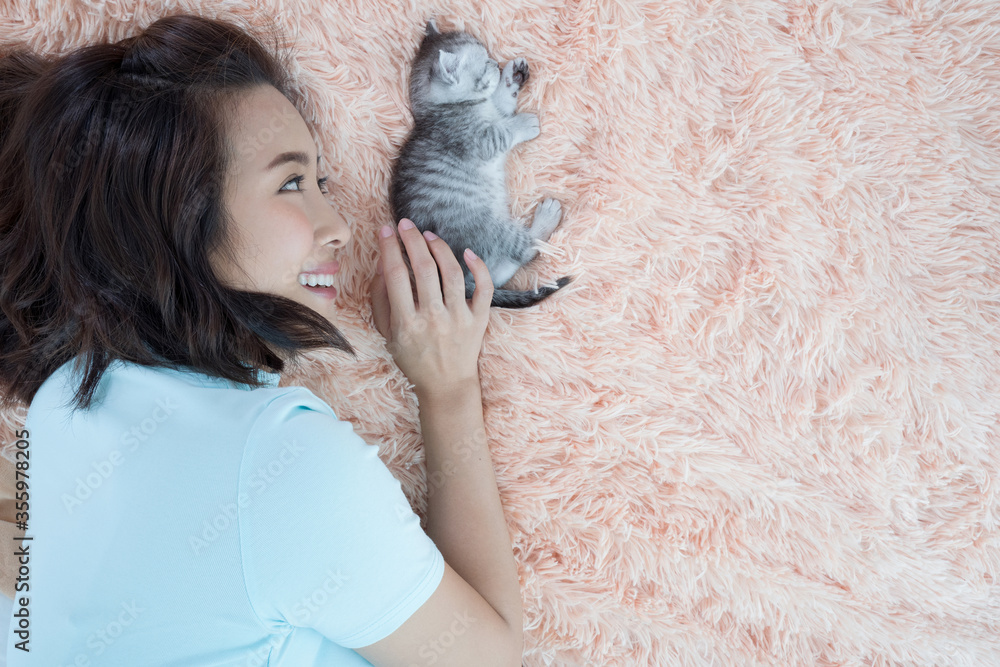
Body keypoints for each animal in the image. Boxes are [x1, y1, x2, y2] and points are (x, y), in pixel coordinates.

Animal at [392, 18, 580, 308]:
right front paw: (524, 123)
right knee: (526, 251)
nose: (496, 63)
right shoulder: (480, 139)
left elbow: (502, 105)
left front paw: (511, 78)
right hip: (485, 226)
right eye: (484, 63)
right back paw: (547, 216)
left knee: (497, 275)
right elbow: (504, 130)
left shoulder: (495, 111)